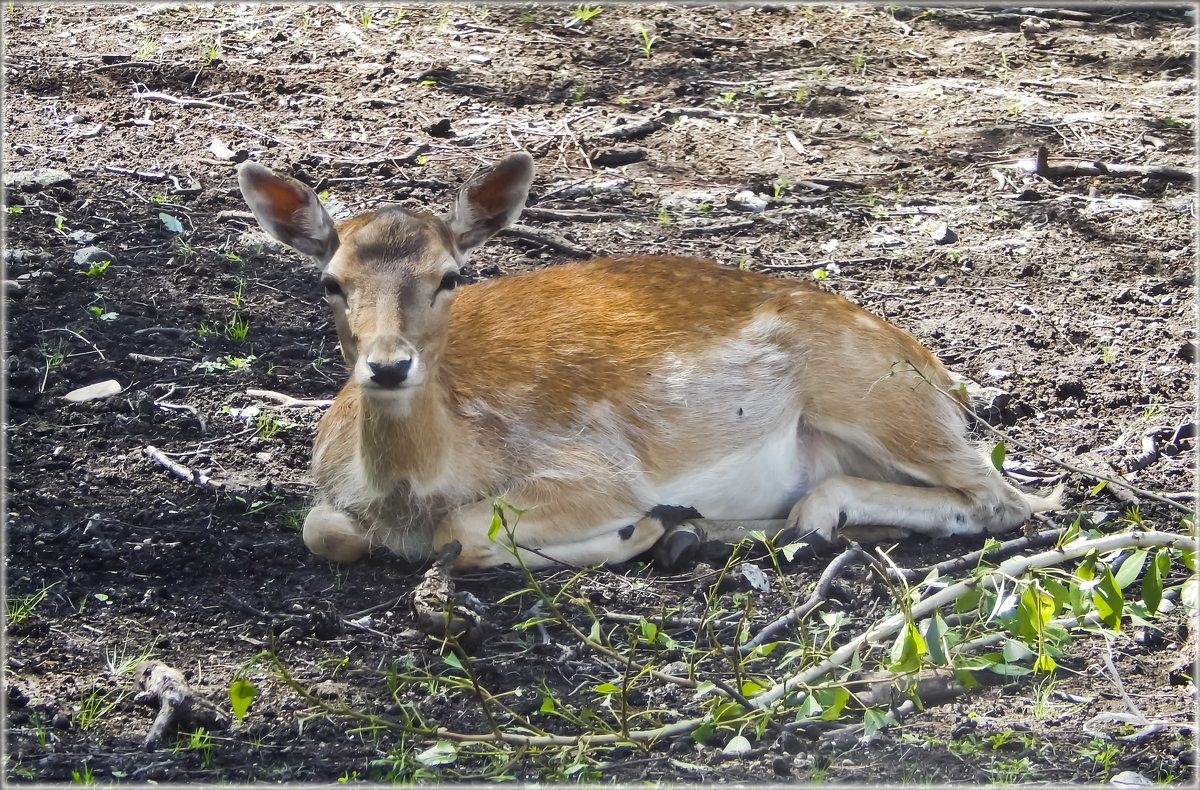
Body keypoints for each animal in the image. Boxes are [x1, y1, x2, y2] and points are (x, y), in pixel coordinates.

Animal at [236, 150, 1060, 569]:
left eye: (450, 276)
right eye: (330, 281)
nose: (386, 366)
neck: (408, 494)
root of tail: (943, 375)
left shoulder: (593, 469)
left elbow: (461, 535)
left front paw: (636, 531)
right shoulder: (329, 497)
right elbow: (324, 532)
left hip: (880, 397)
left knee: (1006, 498)